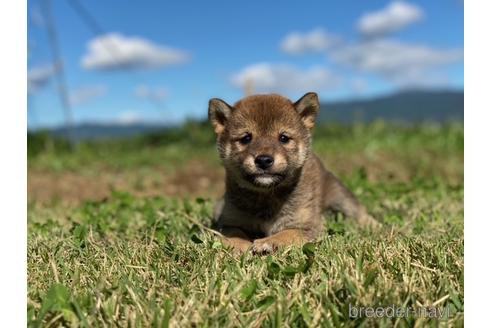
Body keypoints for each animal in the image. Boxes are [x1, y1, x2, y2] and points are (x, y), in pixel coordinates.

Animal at [209, 92, 380, 254]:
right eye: (246, 138)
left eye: (284, 138)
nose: (263, 160)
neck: (266, 196)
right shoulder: (229, 222)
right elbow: (234, 233)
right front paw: (240, 245)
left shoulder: (307, 226)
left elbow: (287, 233)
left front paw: (268, 242)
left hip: (341, 198)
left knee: (360, 213)